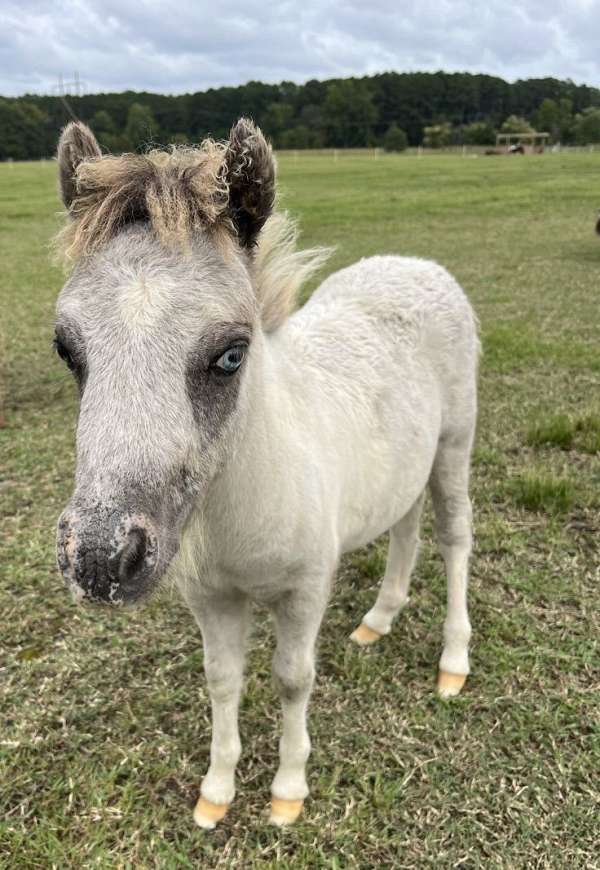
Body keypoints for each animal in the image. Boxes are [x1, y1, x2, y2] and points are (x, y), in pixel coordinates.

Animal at [56, 119, 478, 828]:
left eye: (231, 353)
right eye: (66, 348)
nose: (100, 560)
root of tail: (417, 265)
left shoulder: (305, 587)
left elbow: (291, 678)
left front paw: (287, 790)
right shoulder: (210, 596)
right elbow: (222, 679)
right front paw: (216, 793)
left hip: (454, 447)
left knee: (453, 540)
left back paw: (453, 662)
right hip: (405, 465)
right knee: (405, 527)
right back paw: (379, 618)